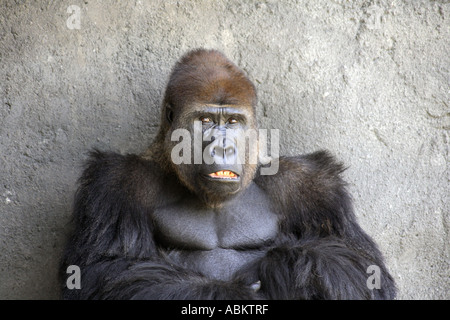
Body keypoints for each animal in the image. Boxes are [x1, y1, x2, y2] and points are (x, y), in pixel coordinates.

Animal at [61, 48, 396, 300]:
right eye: (206, 119)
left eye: (234, 122)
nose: (223, 147)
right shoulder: (114, 183)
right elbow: (102, 271)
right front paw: (233, 292)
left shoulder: (312, 185)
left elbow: (360, 267)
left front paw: (284, 264)